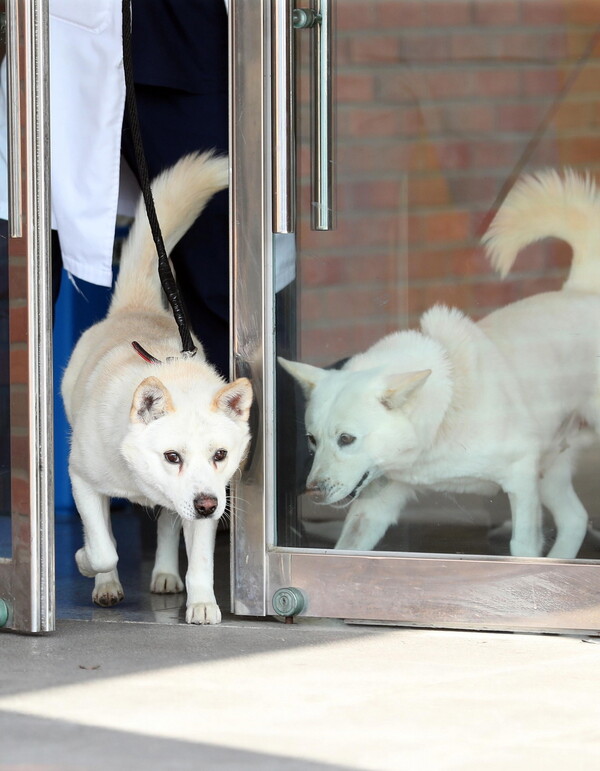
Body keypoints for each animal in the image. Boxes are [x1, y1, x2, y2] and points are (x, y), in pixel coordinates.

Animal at [62, 152, 253, 628]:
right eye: (171, 456)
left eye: (221, 455)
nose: (207, 505)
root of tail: (138, 306)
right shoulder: (81, 480)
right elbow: (103, 547)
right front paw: (85, 563)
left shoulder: (205, 499)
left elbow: (200, 559)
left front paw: (203, 603)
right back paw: (106, 585)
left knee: (167, 526)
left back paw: (166, 574)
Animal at [280, 172, 600, 560]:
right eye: (312, 439)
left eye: (346, 439)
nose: (312, 490)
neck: (443, 413)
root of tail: (581, 290)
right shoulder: (376, 504)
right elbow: (350, 549)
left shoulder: (522, 475)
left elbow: (522, 545)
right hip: (551, 468)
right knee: (575, 518)